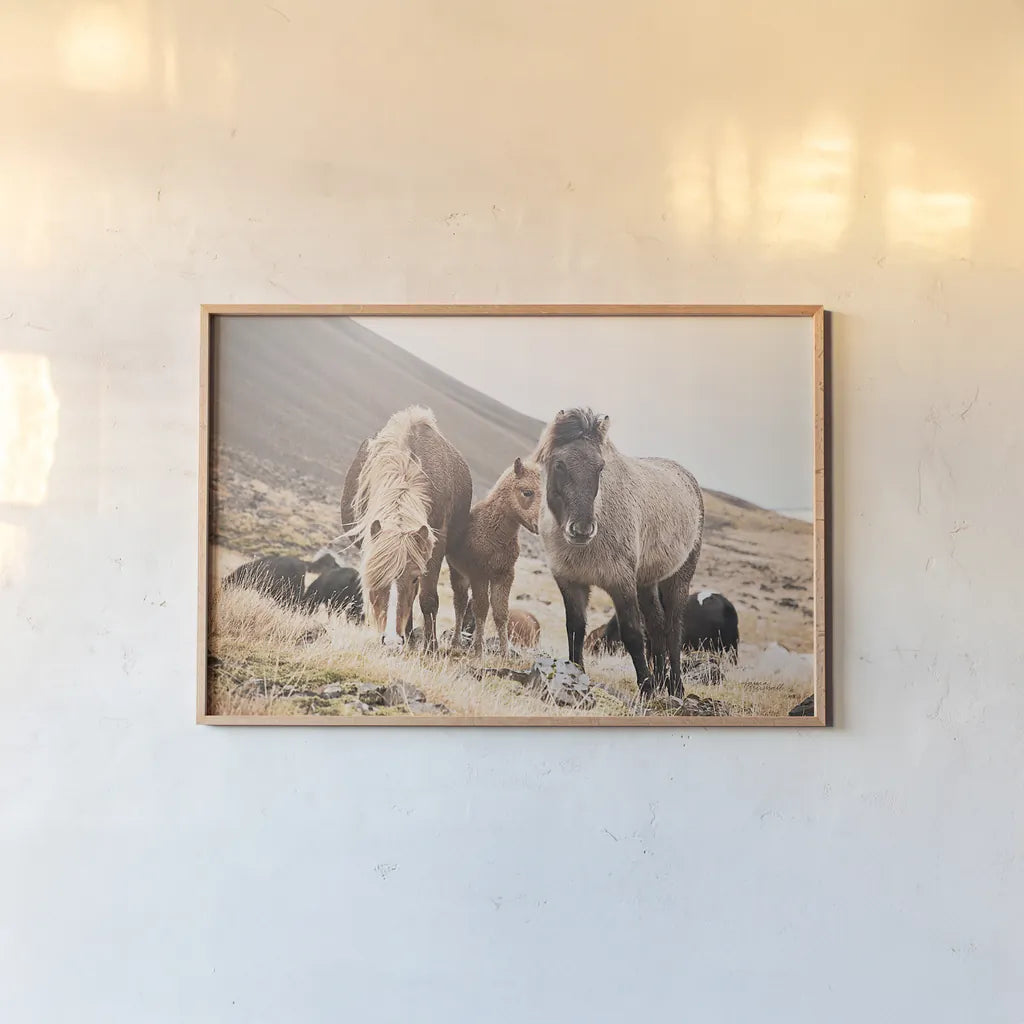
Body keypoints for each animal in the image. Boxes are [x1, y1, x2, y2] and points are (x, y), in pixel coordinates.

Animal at [341, 407, 472, 650]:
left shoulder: (436, 545)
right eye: (375, 577)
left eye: (413, 578)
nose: (392, 641)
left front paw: (431, 647)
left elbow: (427, 598)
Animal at [446, 456, 542, 657]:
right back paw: (456, 642)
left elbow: (501, 613)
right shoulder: (479, 575)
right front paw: (479, 651)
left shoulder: (504, 575)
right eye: (527, 492)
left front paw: (505, 653)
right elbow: (481, 610)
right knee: (460, 604)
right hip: (458, 573)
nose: (538, 526)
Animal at [533, 408, 704, 697]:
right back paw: (661, 680)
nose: (582, 530)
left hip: (678, 579)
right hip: (647, 582)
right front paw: (575, 674)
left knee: (672, 628)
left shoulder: (620, 582)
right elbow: (575, 628)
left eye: (600, 467)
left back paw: (675, 686)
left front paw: (646, 688)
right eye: (560, 464)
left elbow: (633, 633)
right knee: (657, 624)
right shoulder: (570, 582)